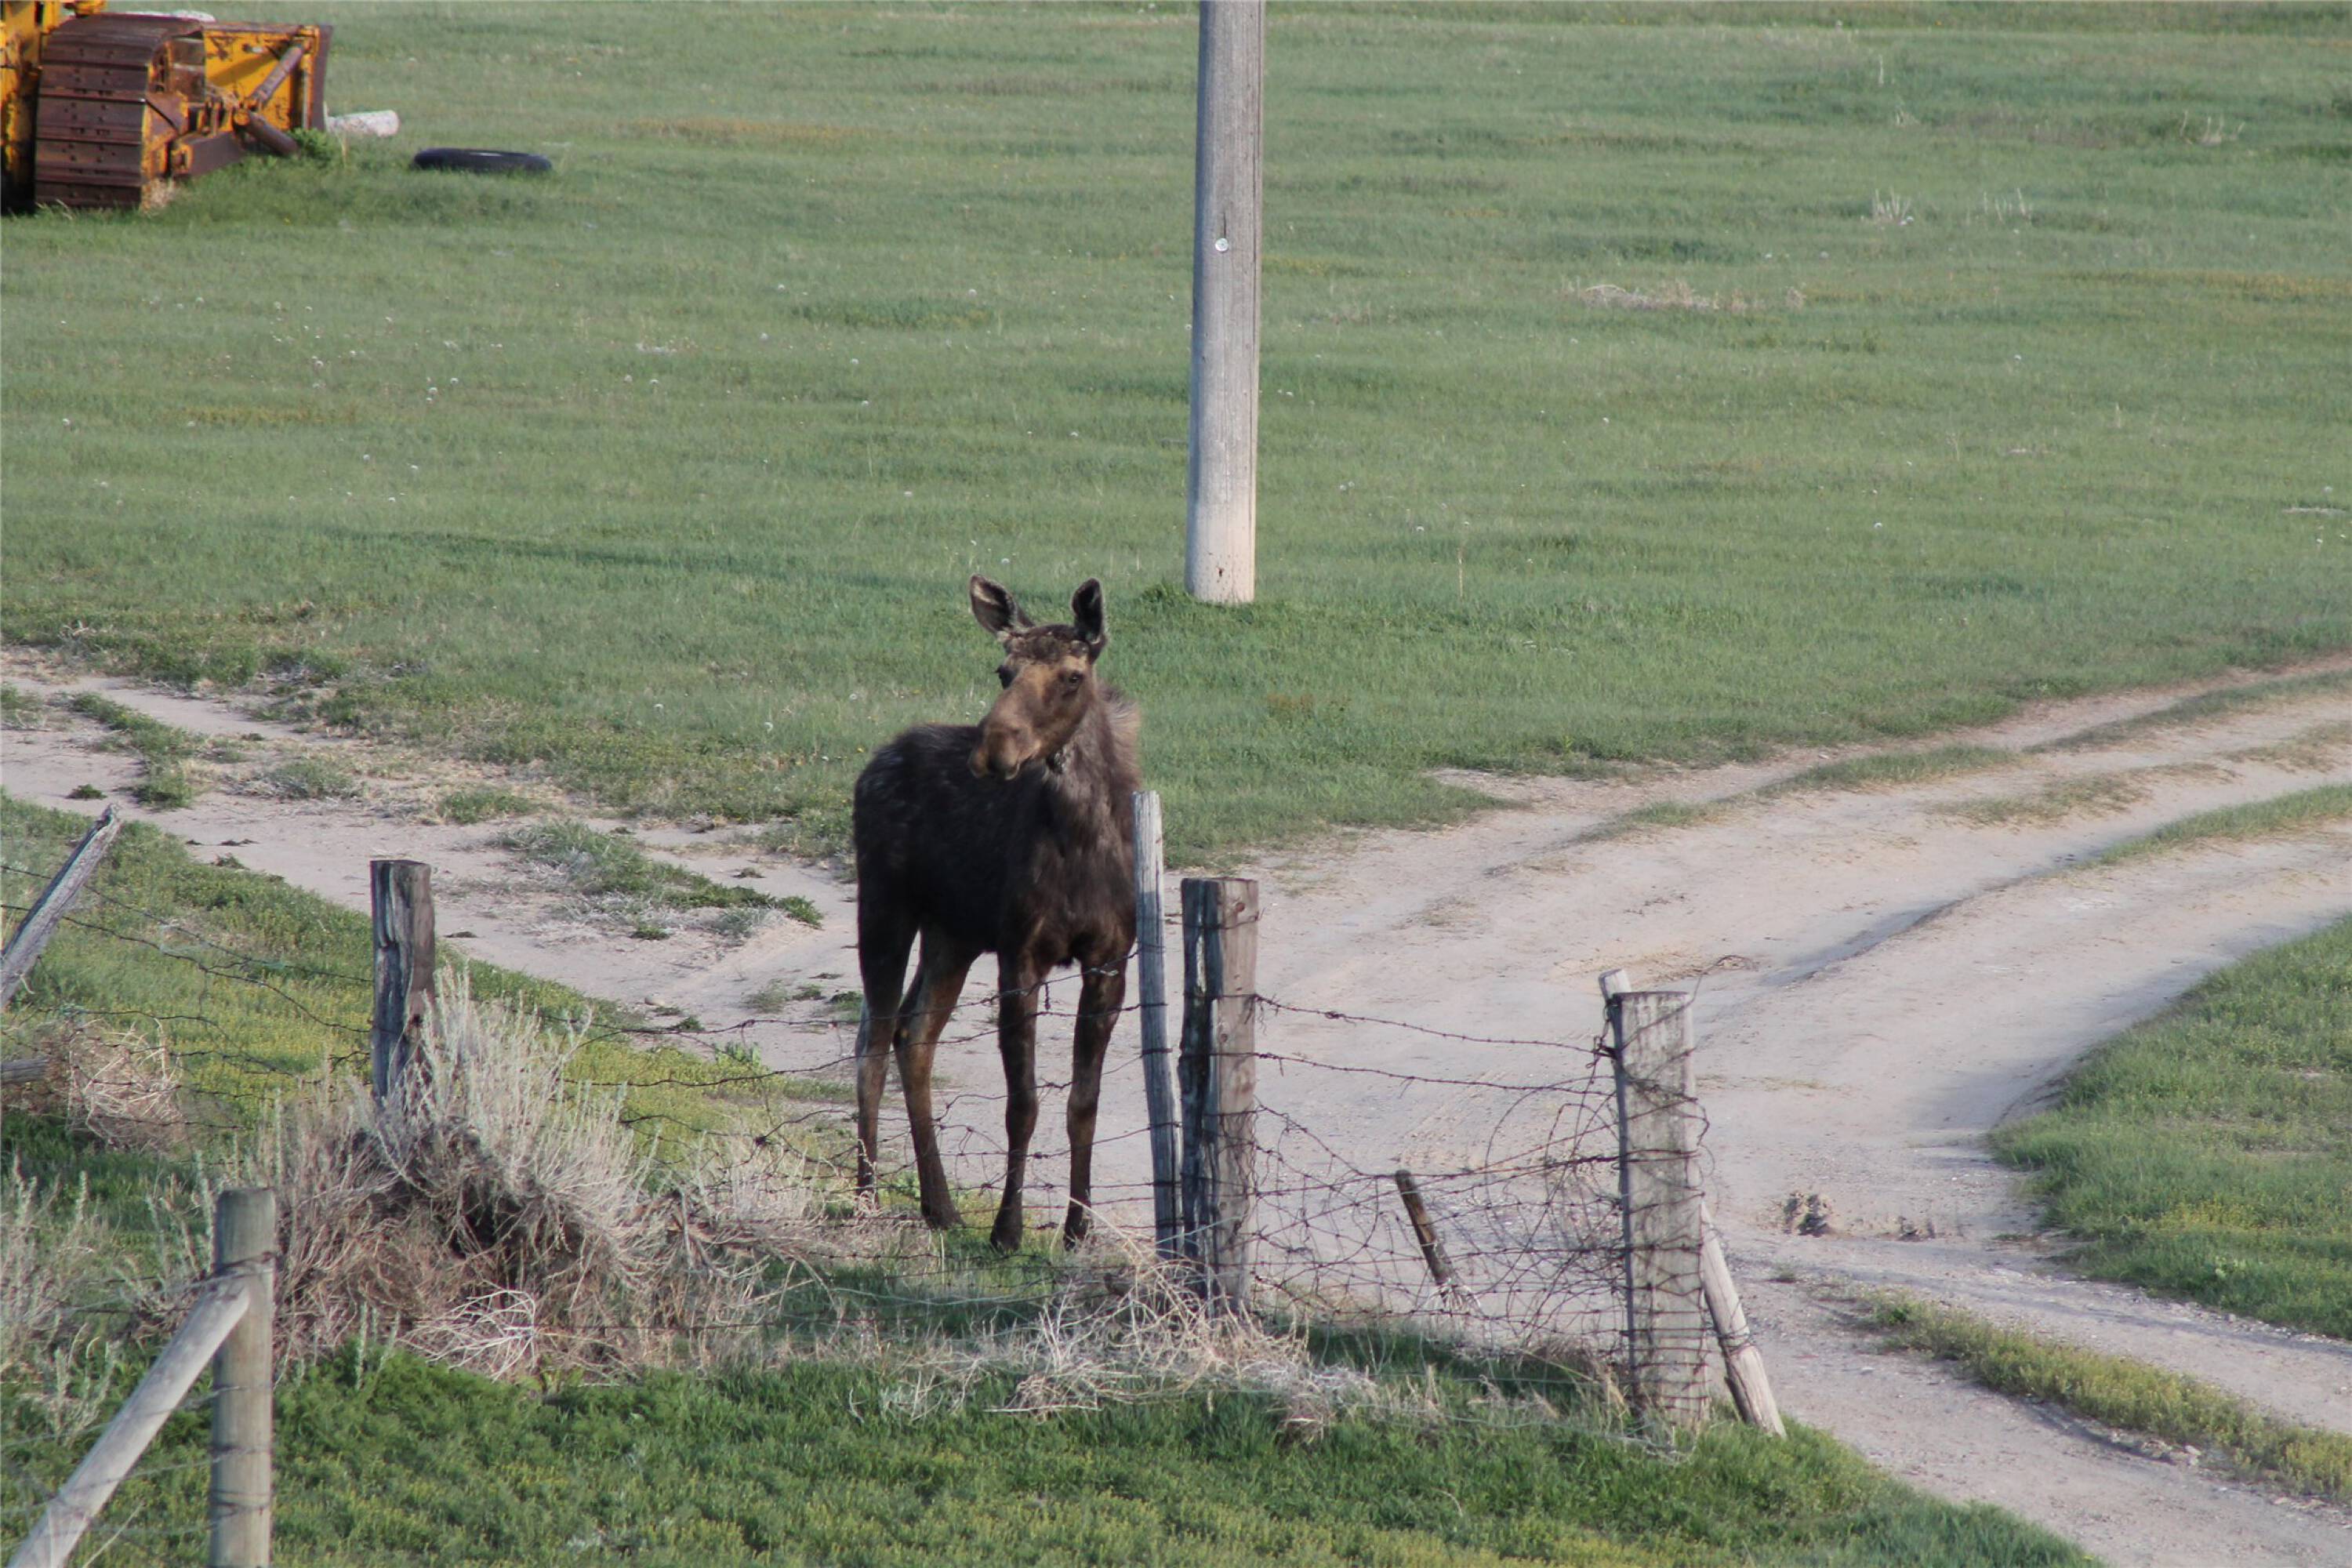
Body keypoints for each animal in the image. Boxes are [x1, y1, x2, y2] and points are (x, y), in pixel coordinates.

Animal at [851, 575, 1141, 1252]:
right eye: (1004, 671)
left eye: (1071, 675)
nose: (993, 749)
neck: (1081, 842)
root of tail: (874, 761)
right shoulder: (1021, 954)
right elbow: (1023, 1103)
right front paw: (1008, 1231)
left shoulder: (1110, 959)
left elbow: (1083, 1102)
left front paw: (1078, 1227)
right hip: (884, 905)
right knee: (873, 1035)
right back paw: (866, 1194)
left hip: (951, 934)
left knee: (913, 1035)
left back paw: (940, 1206)